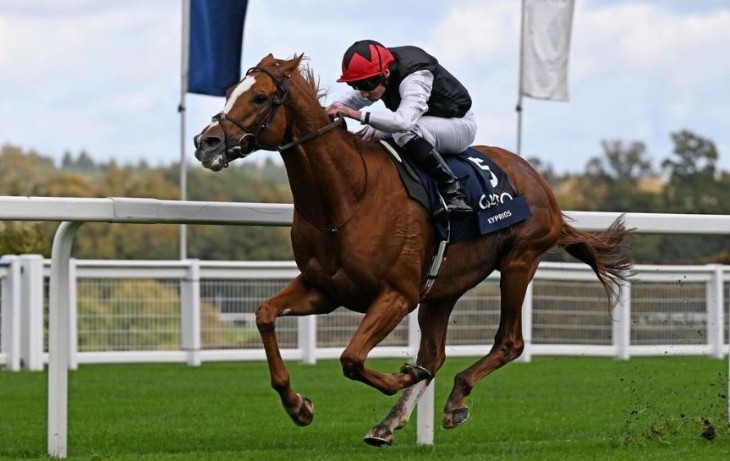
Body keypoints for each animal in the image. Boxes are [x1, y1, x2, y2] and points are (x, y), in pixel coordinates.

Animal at [193, 54, 632, 446]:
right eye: (229, 92)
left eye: (260, 97)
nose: (206, 142)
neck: (347, 197)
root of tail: (540, 182)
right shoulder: (324, 289)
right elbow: (265, 315)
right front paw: (297, 405)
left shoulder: (397, 294)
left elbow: (352, 358)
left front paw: (403, 375)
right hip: (442, 289)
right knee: (435, 355)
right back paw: (389, 423)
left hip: (519, 261)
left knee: (509, 342)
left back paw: (455, 399)